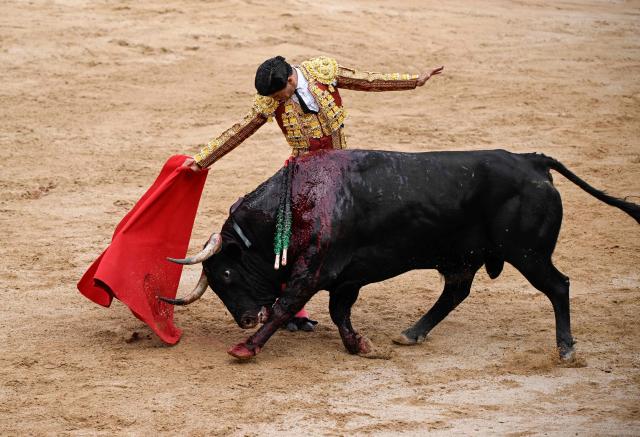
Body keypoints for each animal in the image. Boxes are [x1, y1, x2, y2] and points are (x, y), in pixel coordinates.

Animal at [160, 149, 639, 361]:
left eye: (225, 273)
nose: (244, 319)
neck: (296, 200)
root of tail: (532, 161)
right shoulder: (346, 276)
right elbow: (339, 311)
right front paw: (360, 345)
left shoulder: (313, 271)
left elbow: (285, 306)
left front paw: (245, 347)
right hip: (468, 256)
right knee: (455, 292)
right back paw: (411, 333)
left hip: (528, 253)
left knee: (558, 286)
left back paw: (565, 349)